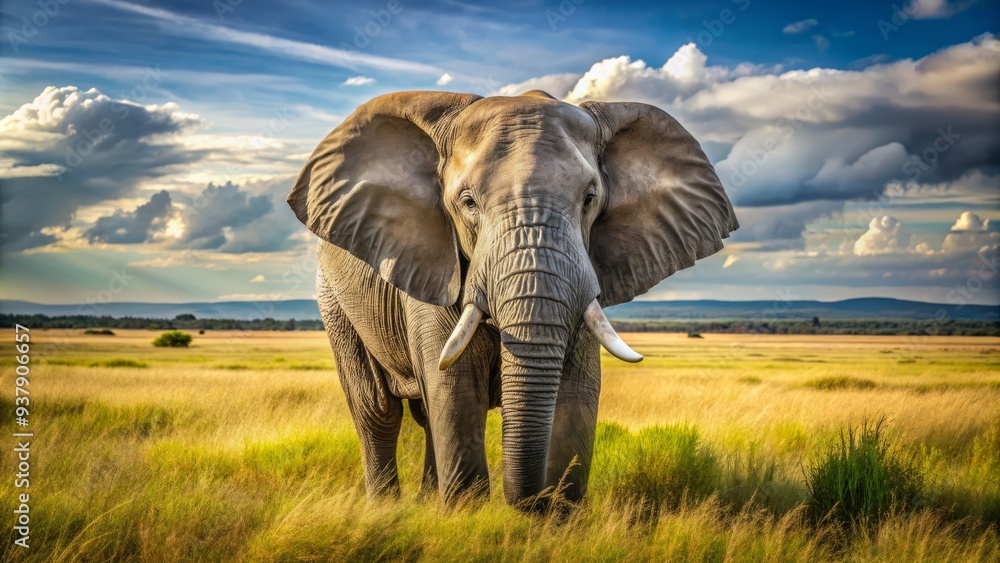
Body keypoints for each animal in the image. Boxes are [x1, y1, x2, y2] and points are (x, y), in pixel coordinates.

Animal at [287, 89, 738, 510]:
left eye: (590, 199)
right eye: (467, 202)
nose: (531, 500)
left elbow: (577, 397)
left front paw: (554, 516)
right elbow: (455, 393)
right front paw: (466, 516)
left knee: (425, 416)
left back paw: (427, 503)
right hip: (334, 302)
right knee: (378, 411)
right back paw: (385, 510)